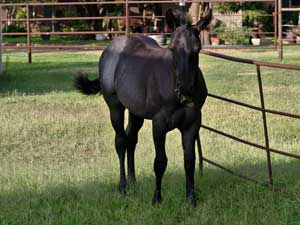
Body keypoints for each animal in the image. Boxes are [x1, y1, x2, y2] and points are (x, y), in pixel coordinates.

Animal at [74, 9, 211, 206]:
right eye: (172, 49)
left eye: (197, 49)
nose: (184, 89)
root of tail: (111, 47)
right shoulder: (159, 124)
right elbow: (160, 161)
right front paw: (157, 199)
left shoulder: (192, 123)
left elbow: (189, 160)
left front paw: (191, 199)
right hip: (115, 106)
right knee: (120, 141)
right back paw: (123, 186)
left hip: (136, 112)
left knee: (131, 139)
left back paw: (133, 182)